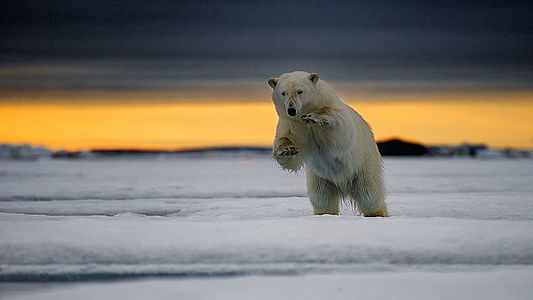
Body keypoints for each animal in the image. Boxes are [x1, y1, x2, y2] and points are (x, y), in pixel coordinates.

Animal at [266, 71, 386, 216]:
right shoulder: (293, 123)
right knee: (322, 199)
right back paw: (325, 214)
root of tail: (344, 187)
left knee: (370, 195)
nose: (291, 110)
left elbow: (341, 133)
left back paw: (377, 213)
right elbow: (289, 143)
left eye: (300, 91)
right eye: (283, 93)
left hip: (365, 165)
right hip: (320, 179)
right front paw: (287, 150)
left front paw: (314, 117)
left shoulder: (333, 110)